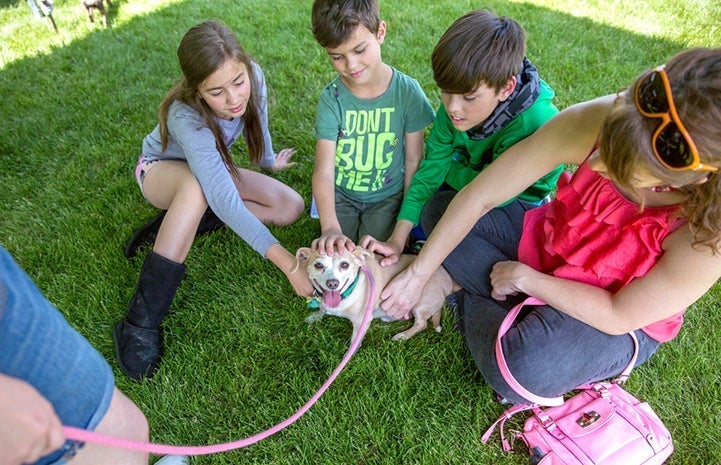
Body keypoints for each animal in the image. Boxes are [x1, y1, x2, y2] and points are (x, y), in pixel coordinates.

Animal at [294, 246, 452, 340]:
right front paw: (314, 316)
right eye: (318, 265)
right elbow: (322, 309)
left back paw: (402, 335)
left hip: (420, 303)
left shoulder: (361, 322)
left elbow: (353, 343)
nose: (332, 283)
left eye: (345, 264)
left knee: (422, 324)